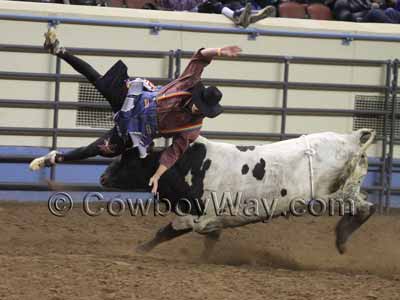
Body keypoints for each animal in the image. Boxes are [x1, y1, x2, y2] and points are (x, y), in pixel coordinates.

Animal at [101, 129, 378, 258]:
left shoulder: (194, 216)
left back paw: (341, 239)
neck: (186, 167)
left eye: (128, 161)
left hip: (332, 195)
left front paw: (138, 250)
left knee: (364, 208)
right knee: (366, 205)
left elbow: (165, 232)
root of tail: (351, 140)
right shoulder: (212, 220)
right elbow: (211, 239)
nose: (102, 177)